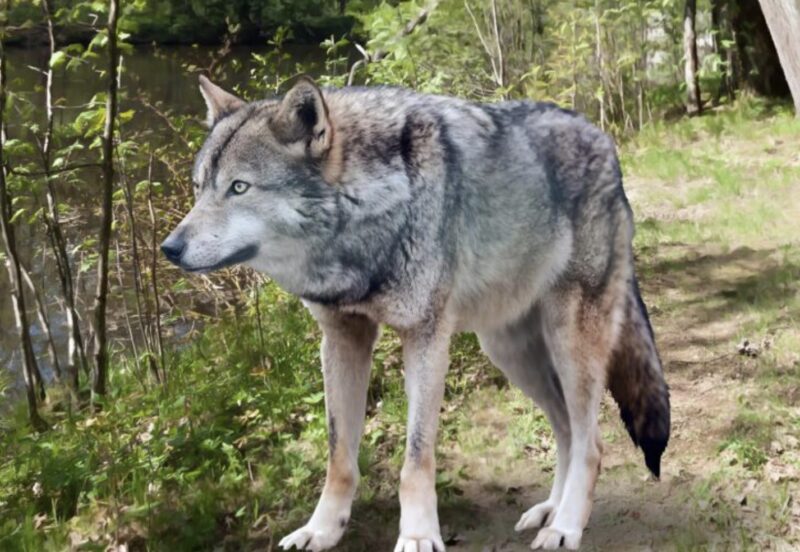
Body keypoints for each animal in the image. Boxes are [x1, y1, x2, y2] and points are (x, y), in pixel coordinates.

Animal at [161, 75, 670, 551]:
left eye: (239, 187)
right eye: (198, 189)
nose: (170, 248)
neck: (368, 214)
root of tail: (604, 140)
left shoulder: (425, 338)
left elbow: (416, 460)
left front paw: (419, 536)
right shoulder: (341, 338)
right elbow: (339, 457)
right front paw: (320, 530)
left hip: (569, 342)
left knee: (591, 442)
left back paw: (565, 526)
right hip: (508, 351)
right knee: (565, 430)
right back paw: (549, 510)